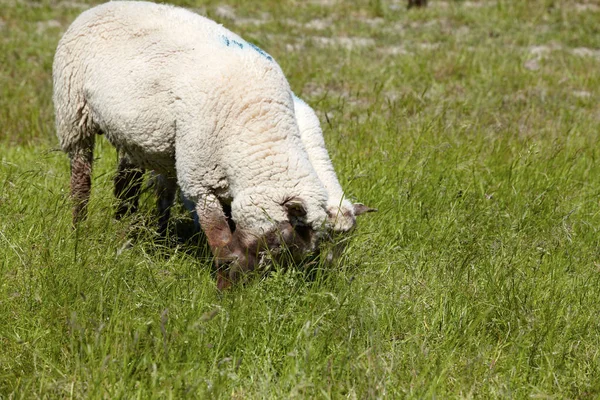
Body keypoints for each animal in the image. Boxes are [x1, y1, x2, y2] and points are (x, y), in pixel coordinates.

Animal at [55, 0, 332, 288]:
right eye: (279, 241)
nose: (251, 284)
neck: (257, 127)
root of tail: (101, 7)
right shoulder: (201, 179)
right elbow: (221, 243)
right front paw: (225, 287)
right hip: (73, 113)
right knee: (81, 180)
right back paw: (79, 228)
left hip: (135, 136)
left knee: (127, 181)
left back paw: (128, 226)